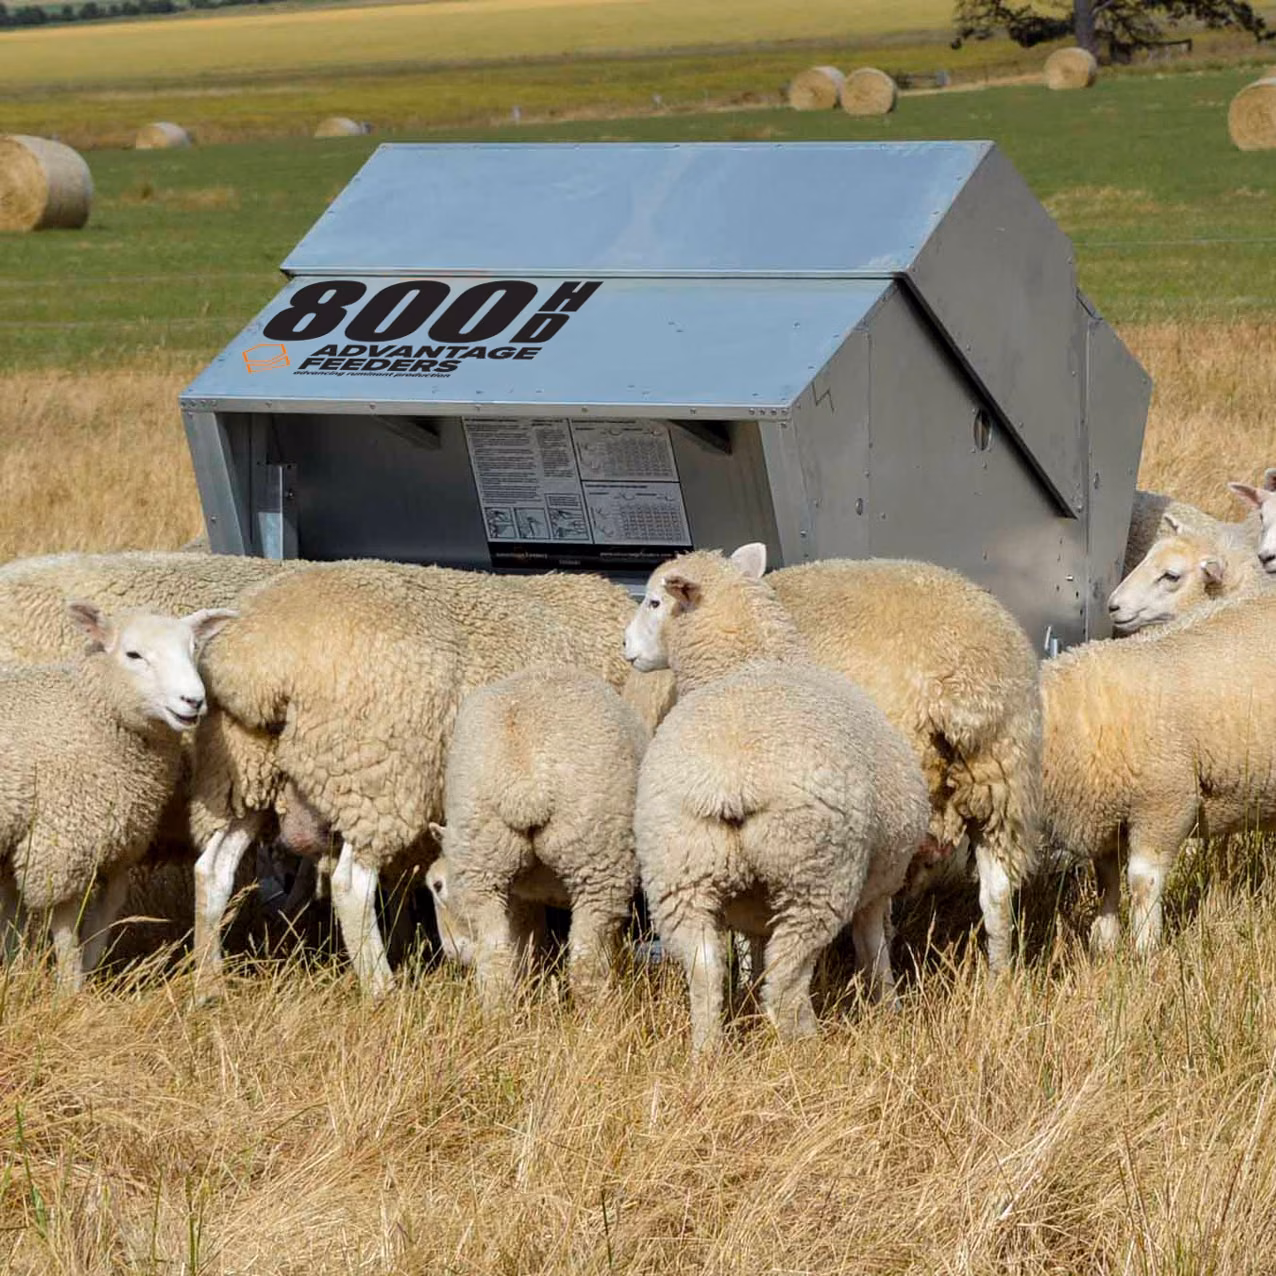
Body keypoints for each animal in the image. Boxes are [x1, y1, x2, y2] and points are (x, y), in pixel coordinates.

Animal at [0, 603, 233, 989]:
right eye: (133, 654)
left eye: (193, 649)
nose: (193, 701)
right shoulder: (61, 844)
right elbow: (64, 925)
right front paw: (71, 988)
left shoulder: (118, 840)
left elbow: (109, 904)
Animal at [423, 666, 648, 1007]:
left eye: (437, 886)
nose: (454, 953)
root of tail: (522, 783)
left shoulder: (519, 897)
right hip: (597, 856)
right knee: (586, 959)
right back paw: (601, 1013)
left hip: (484, 858)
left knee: (496, 958)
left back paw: (498, 1012)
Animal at [625, 544, 930, 1051]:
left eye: (653, 602)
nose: (625, 648)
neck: (750, 660)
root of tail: (730, 783)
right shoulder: (878, 881)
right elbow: (874, 947)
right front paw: (889, 1007)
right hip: (814, 875)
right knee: (785, 980)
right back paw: (807, 1045)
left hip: (679, 870)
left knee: (706, 970)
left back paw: (707, 1052)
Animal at [1041, 593, 1276, 953]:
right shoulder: (1105, 817)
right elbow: (1106, 879)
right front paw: (1105, 943)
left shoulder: (1165, 802)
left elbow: (1142, 881)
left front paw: (1145, 947)